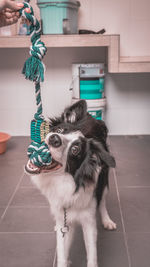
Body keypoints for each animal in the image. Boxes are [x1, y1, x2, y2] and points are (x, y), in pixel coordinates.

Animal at [25, 100, 116, 267]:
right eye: (60, 129)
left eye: (75, 150)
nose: (54, 138)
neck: (65, 183)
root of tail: (91, 116)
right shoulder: (64, 218)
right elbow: (62, 252)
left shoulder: (88, 220)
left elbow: (92, 255)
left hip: (104, 178)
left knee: (103, 200)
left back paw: (107, 220)